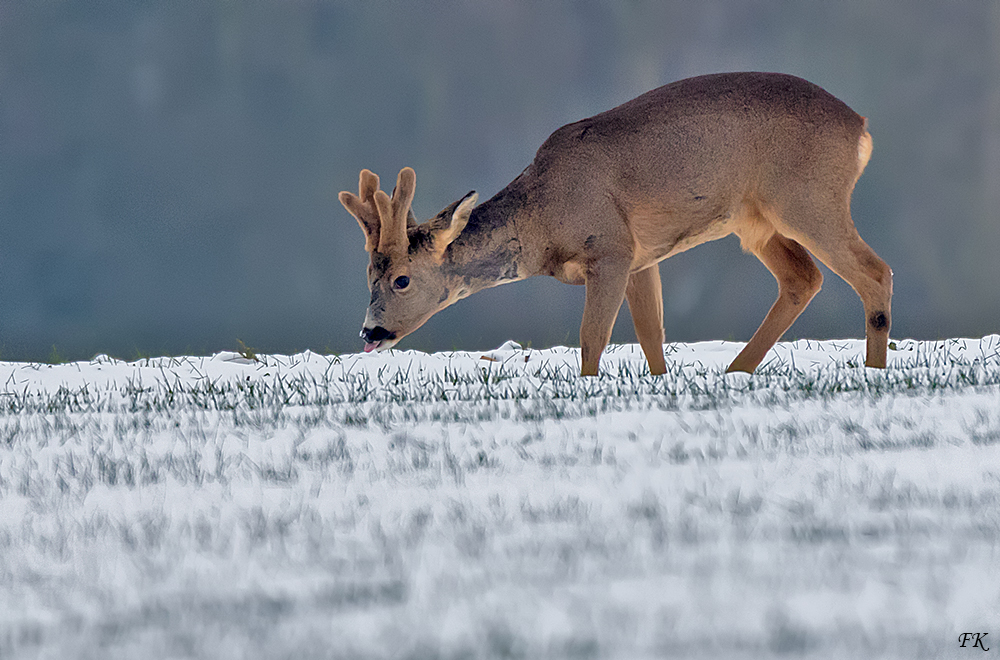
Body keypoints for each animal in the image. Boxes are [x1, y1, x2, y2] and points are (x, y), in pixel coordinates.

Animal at [338, 72, 892, 376]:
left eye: (401, 280)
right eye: (367, 275)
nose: (369, 331)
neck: (542, 222)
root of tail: (861, 128)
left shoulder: (609, 246)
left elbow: (592, 336)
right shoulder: (641, 255)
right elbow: (651, 334)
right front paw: (662, 381)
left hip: (808, 198)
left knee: (874, 272)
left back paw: (872, 370)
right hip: (755, 221)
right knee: (803, 278)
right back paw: (735, 371)